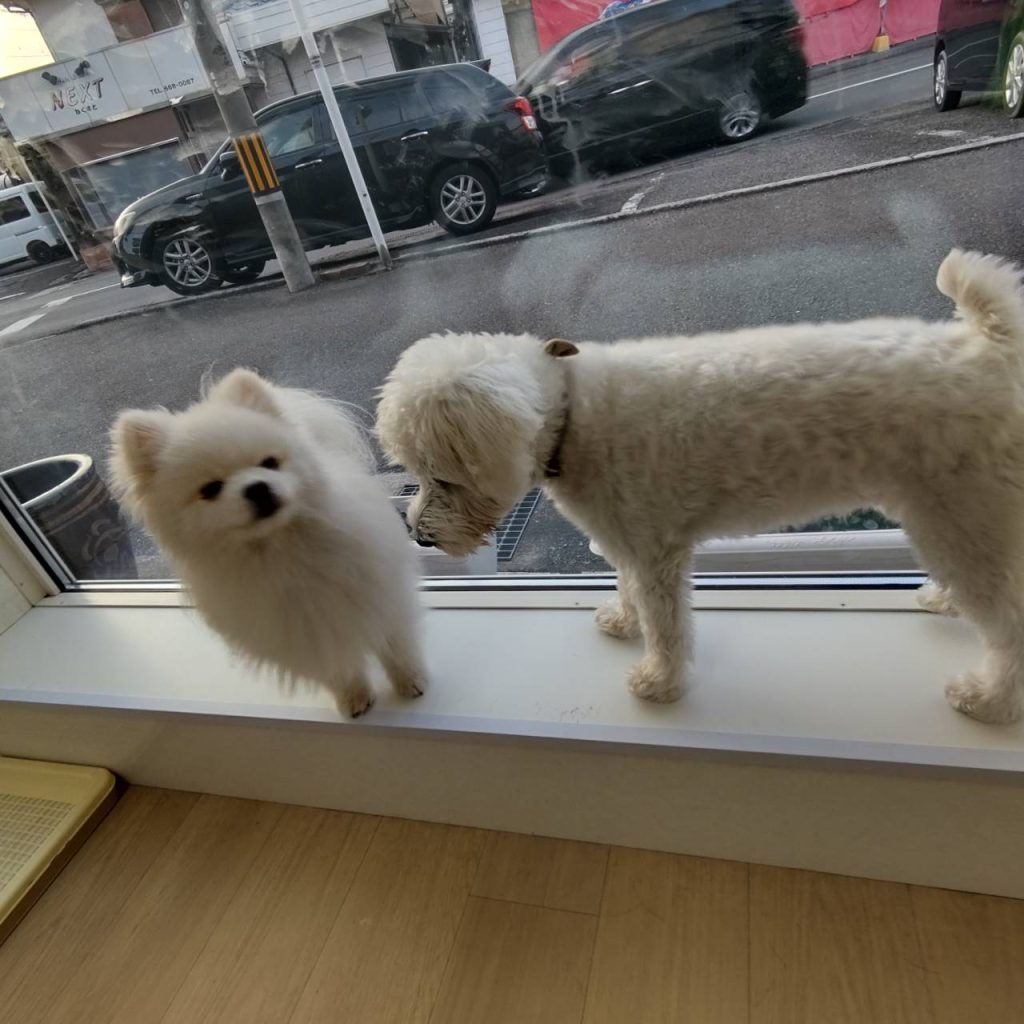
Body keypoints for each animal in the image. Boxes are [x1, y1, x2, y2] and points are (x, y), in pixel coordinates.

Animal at [110, 368, 426, 718]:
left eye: (269, 462)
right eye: (210, 489)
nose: (257, 488)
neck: (282, 547)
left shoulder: (377, 593)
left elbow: (396, 645)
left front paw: (410, 681)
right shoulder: (299, 632)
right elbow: (335, 666)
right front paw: (353, 698)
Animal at [377, 249, 1024, 724]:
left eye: (439, 474)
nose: (419, 536)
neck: (572, 417)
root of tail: (991, 348)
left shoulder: (657, 551)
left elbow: (666, 625)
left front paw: (659, 681)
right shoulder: (628, 540)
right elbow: (629, 587)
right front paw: (624, 618)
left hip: (959, 515)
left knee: (1010, 620)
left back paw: (988, 700)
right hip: (960, 517)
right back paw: (948, 602)